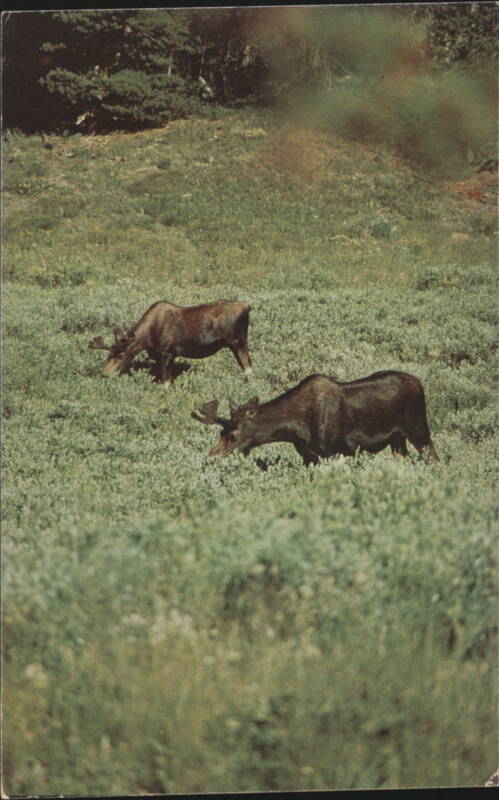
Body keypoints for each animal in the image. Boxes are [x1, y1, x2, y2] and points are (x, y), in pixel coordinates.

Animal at [89, 300, 252, 384]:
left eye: (121, 356)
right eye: (108, 356)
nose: (105, 374)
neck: (147, 339)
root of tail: (248, 308)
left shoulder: (168, 353)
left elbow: (165, 382)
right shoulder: (158, 354)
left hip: (239, 341)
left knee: (248, 367)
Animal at [192, 371, 439, 465]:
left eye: (233, 435)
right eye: (220, 432)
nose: (211, 457)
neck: (293, 430)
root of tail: (420, 383)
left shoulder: (335, 451)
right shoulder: (308, 455)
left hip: (418, 429)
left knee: (435, 456)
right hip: (397, 440)